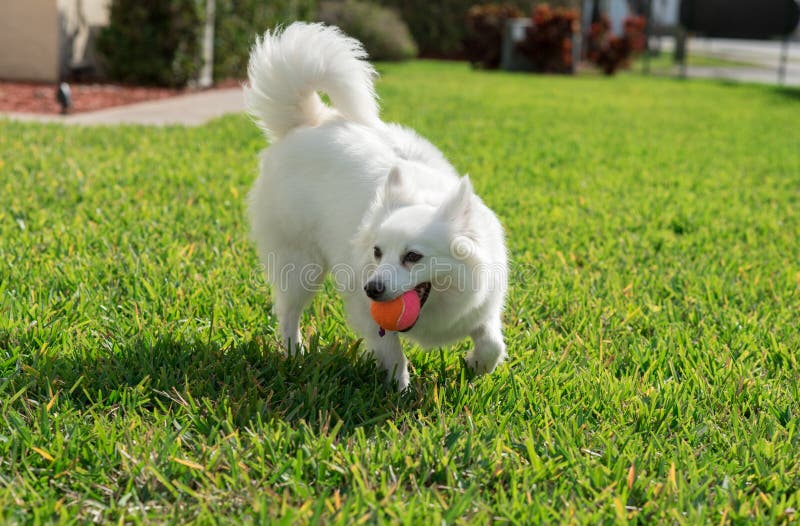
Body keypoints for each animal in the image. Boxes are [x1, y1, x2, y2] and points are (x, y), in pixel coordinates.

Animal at [245, 22, 506, 390]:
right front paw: (401, 391)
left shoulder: (482, 307)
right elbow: (394, 355)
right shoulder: (367, 314)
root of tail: (309, 122)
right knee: (287, 313)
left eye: (413, 257)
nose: (372, 288)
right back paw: (294, 354)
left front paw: (474, 365)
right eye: (377, 253)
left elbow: (492, 343)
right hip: (300, 266)